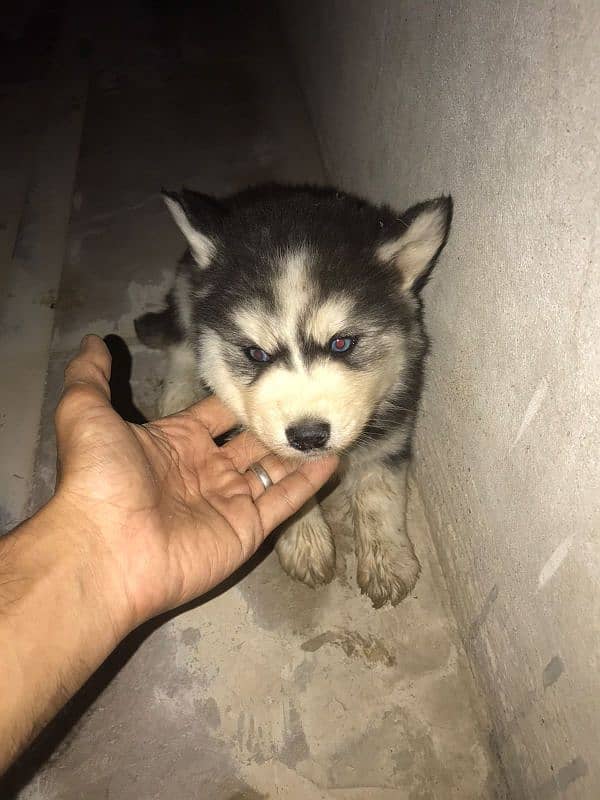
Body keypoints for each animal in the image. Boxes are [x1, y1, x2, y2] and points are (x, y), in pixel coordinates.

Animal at [135, 183, 450, 608]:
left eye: (341, 343)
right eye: (256, 354)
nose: (308, 437)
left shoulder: (395, 416)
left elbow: (378, 487)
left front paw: (386, 557)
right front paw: (306, 542)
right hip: (189, 291)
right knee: (183, 341)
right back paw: (179, 395)